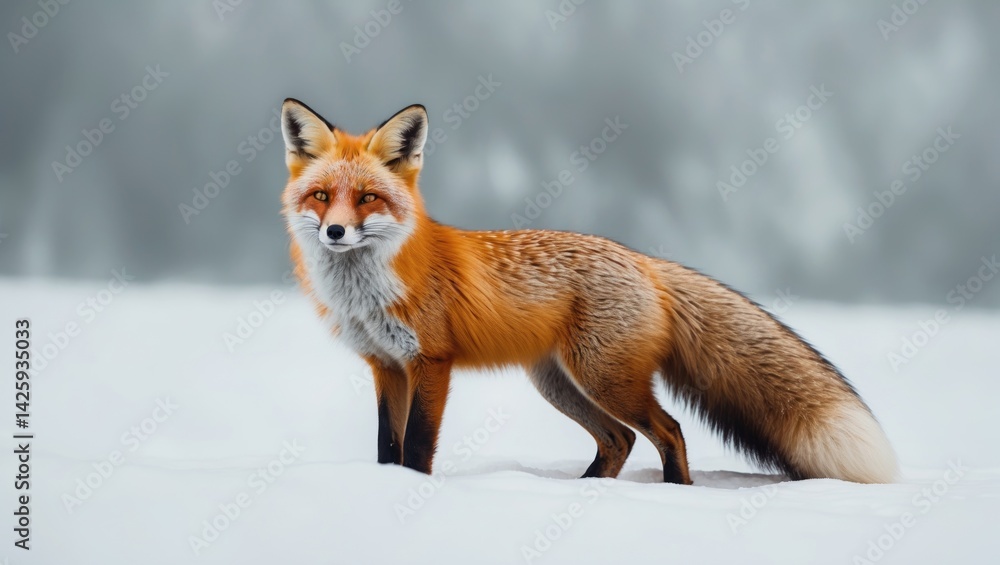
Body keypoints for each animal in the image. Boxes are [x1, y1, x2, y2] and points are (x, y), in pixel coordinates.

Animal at [279, 98, 899, 485]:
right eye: (321, 197)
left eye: (367, 198)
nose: (335, 232)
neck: (369, 290)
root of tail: (642, 260)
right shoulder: (385, 365)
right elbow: (387, 447)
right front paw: (388, 490)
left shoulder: (430, 362)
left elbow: (416, 446)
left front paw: (415, 495)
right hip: (562, 383)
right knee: (620, 440)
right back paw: (588, 492)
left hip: (604, 378)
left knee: (669, 431)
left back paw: (673, 494)